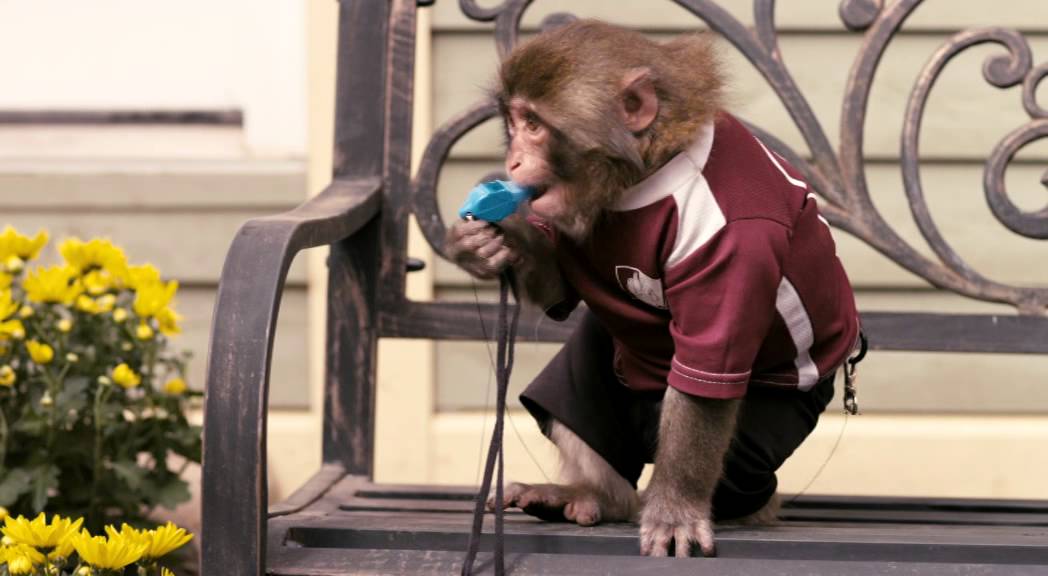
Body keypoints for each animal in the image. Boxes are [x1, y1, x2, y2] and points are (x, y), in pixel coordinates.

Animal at [445, 20, 859, 558]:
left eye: (533, 125)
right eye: (513, 123)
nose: (512, 161)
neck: (646, 170)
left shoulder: (735, 236)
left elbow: (705, 384)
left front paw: (676, 510)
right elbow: (558, 286)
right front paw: (486, 243)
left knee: (740, 459)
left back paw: (744, 507)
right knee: (574, 386)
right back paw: (595, 495)